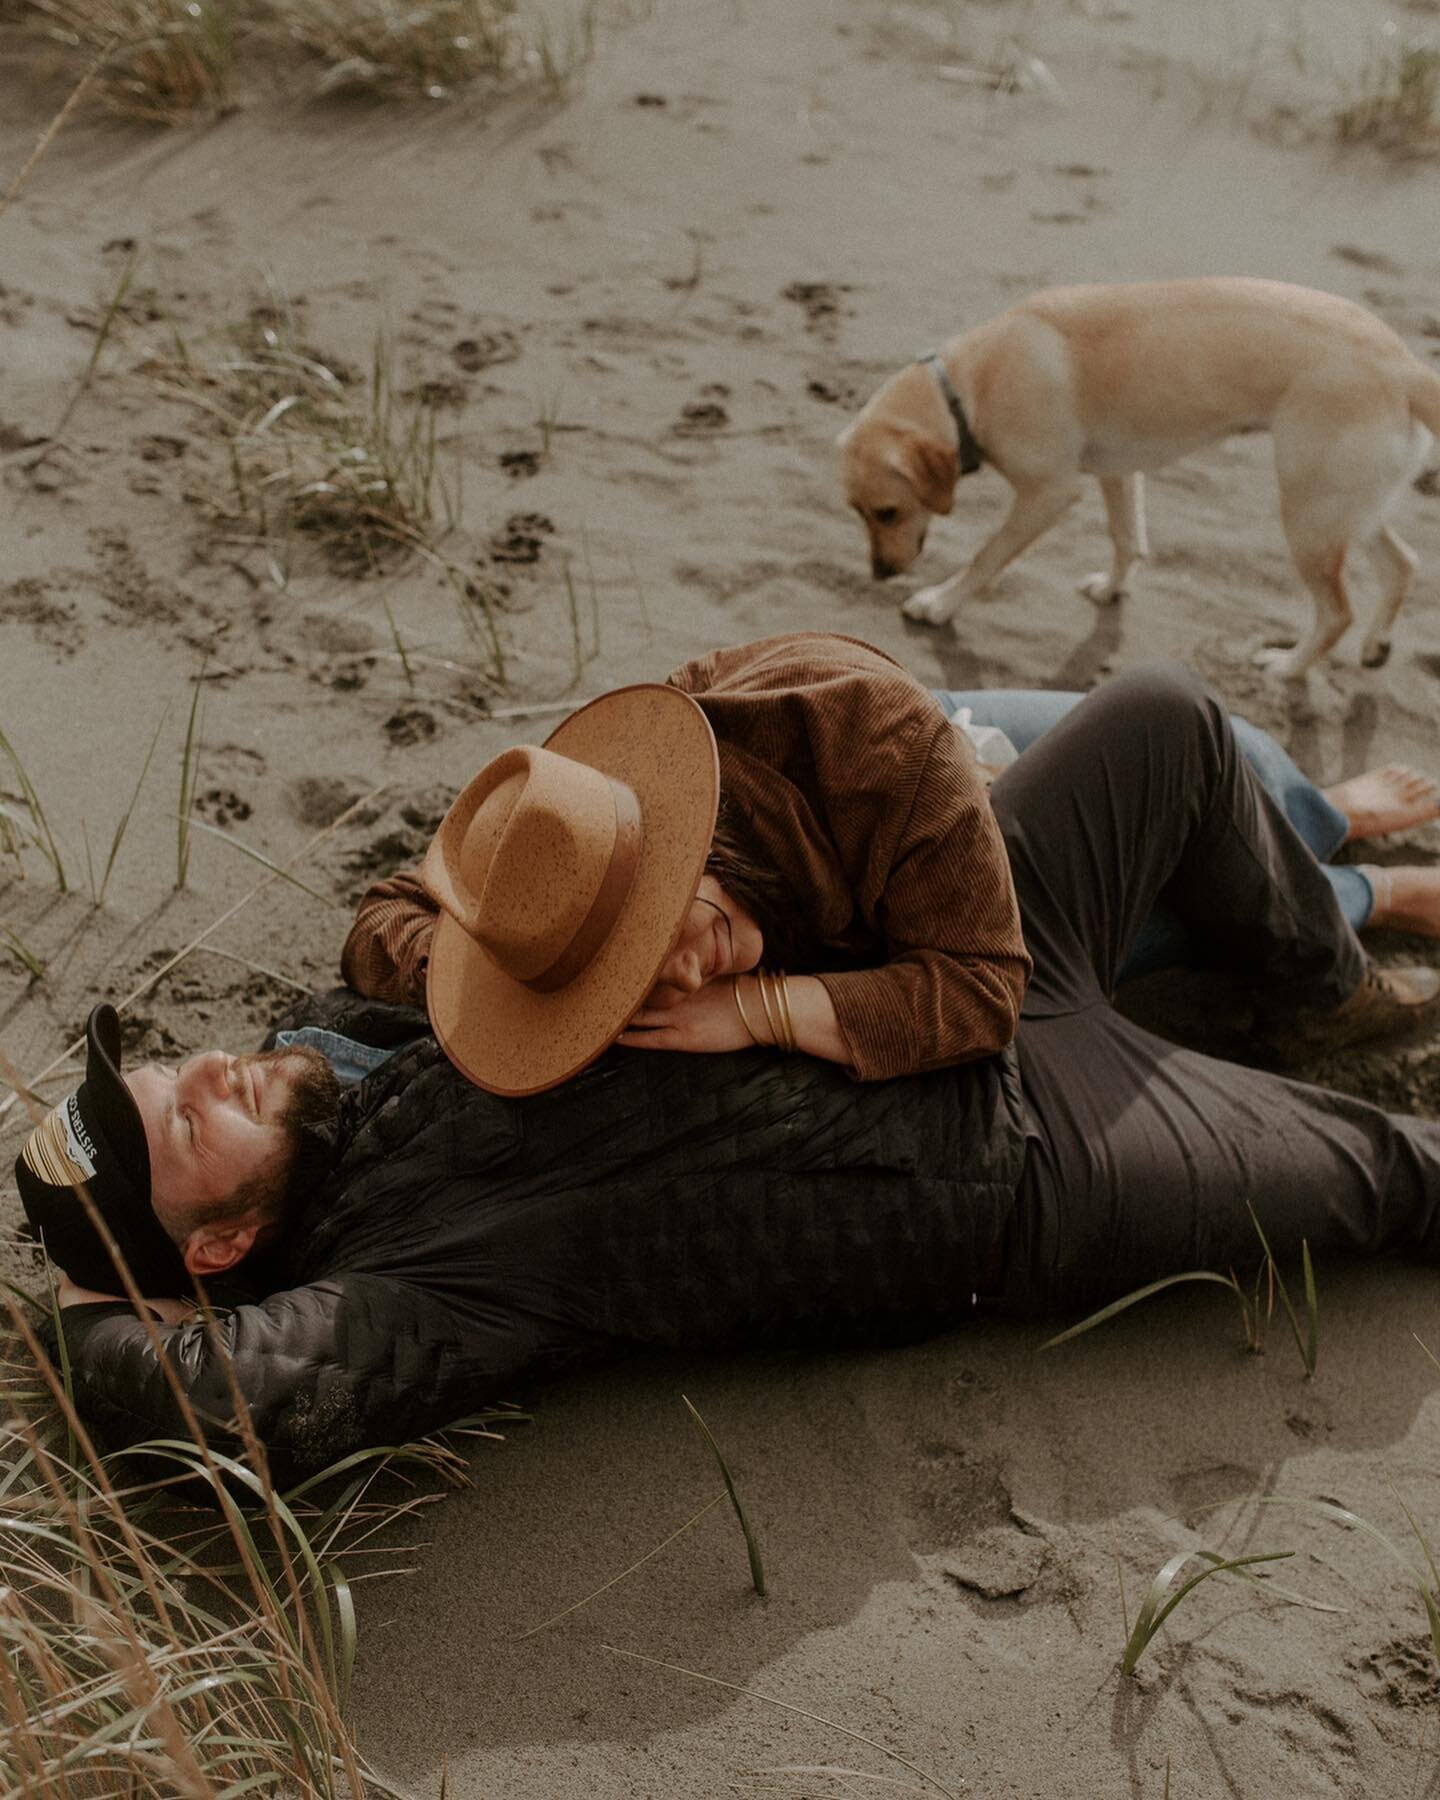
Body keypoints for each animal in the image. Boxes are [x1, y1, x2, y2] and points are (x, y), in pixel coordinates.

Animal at [838, 277, 1440, 676]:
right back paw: (1376, 645)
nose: (879, 574)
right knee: (1403, 564)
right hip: (1344, 508)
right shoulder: (1118, 472)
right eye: (857, 513)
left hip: (1309, 514)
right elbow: (1127, 539)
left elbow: (987, 557)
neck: (969, 385)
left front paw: (938, 604)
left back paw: (1285, 668)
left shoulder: (1048, 494)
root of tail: (1403, 366)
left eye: (887, 512)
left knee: (1337, 613)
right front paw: (1112, 589)